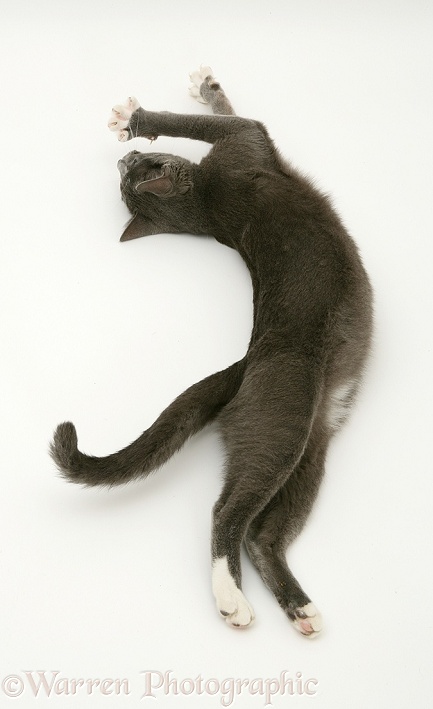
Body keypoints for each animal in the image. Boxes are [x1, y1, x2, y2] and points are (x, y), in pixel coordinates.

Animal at [50, 65, 372, 632]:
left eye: (133, 173)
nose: (124, 159)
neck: (205, 206)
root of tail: (245, 366)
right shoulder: (247, 141)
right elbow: (211, 122)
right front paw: (133, 119)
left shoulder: (242, 148)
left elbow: (221, 111)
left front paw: (204, 87)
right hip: (283, 421)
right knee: (227, 512)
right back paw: (231, 600)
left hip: (313, 444)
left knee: (262, 535)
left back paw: (299, 608)